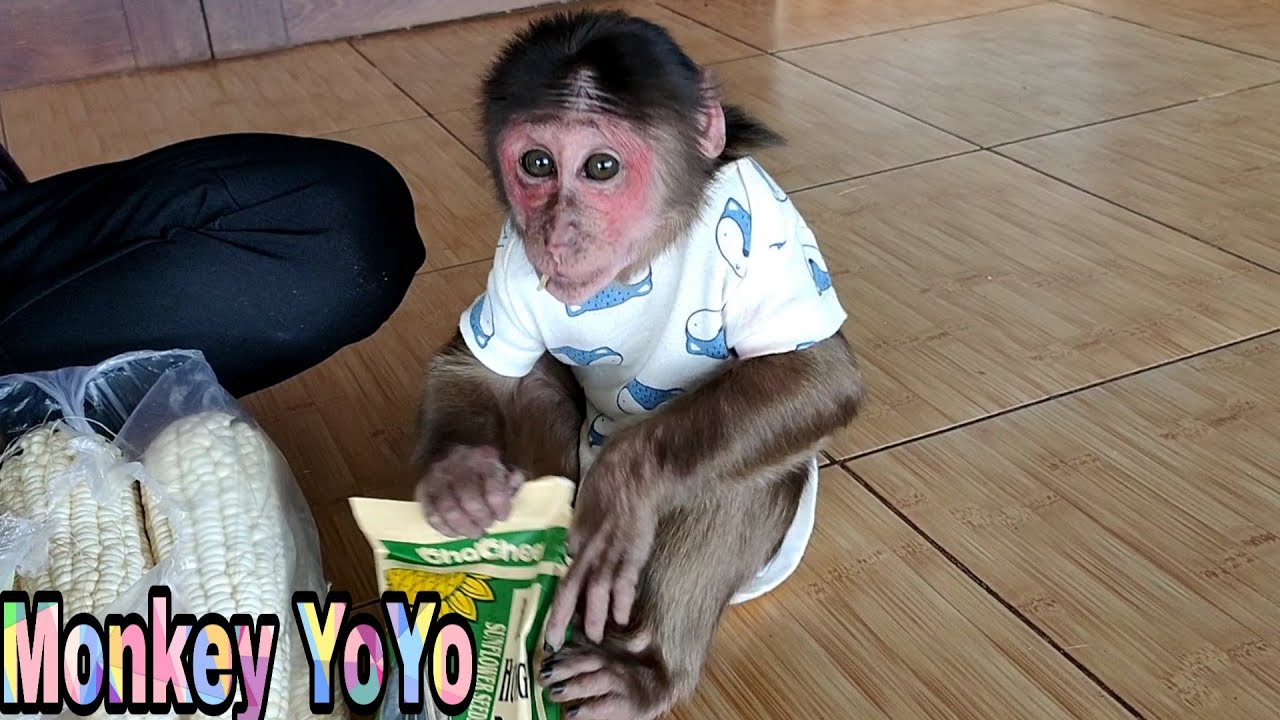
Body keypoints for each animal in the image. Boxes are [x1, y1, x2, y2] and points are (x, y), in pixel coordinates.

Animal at [410, 10, 864, 720]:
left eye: (601, 167)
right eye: (537, 164)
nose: (558, 233)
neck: (647, 258)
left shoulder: (763, 213)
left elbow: (817, 376)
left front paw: (622, 488)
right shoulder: (513, 259)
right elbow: (478, 368)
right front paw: (460, 477)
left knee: (747, 470)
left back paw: (649, 666)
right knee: (537, 382)